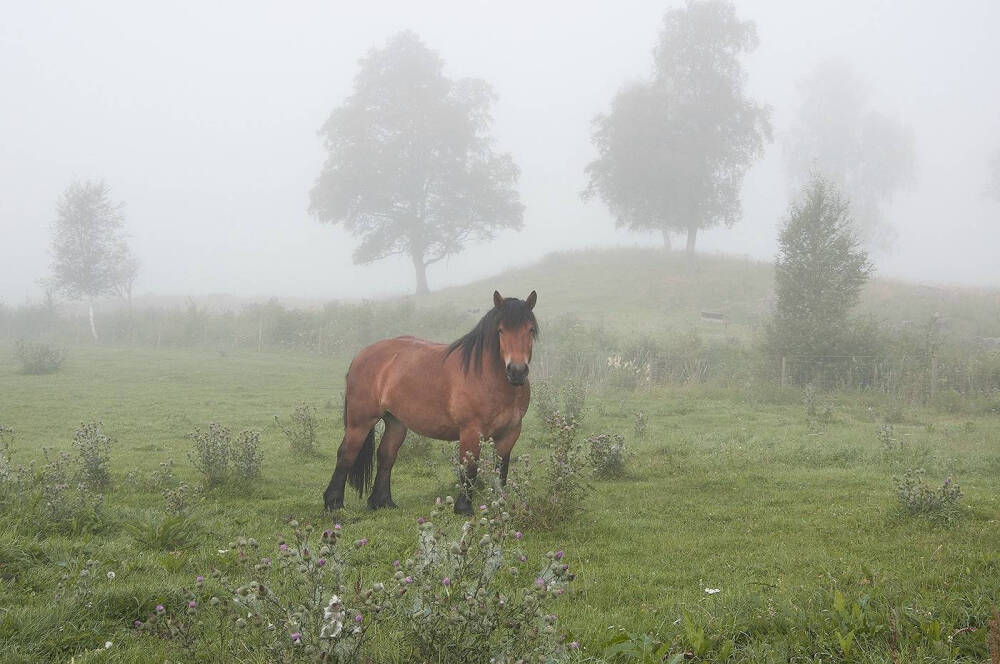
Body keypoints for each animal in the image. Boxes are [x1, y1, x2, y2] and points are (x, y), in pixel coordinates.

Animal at [324, 290, 536, 512]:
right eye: (501, 331)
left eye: (530, 330)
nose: (517, 371)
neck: (487, 376)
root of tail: (361, 354)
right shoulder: (470, 431)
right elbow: (469, 468)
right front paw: (463, 508)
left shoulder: (510, 433)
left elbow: (501, 471)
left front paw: (501, 504)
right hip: (361, 421)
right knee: (346, 453)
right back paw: (333, 502)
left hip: (396, 423)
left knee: (386, 456)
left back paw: (383, 502)